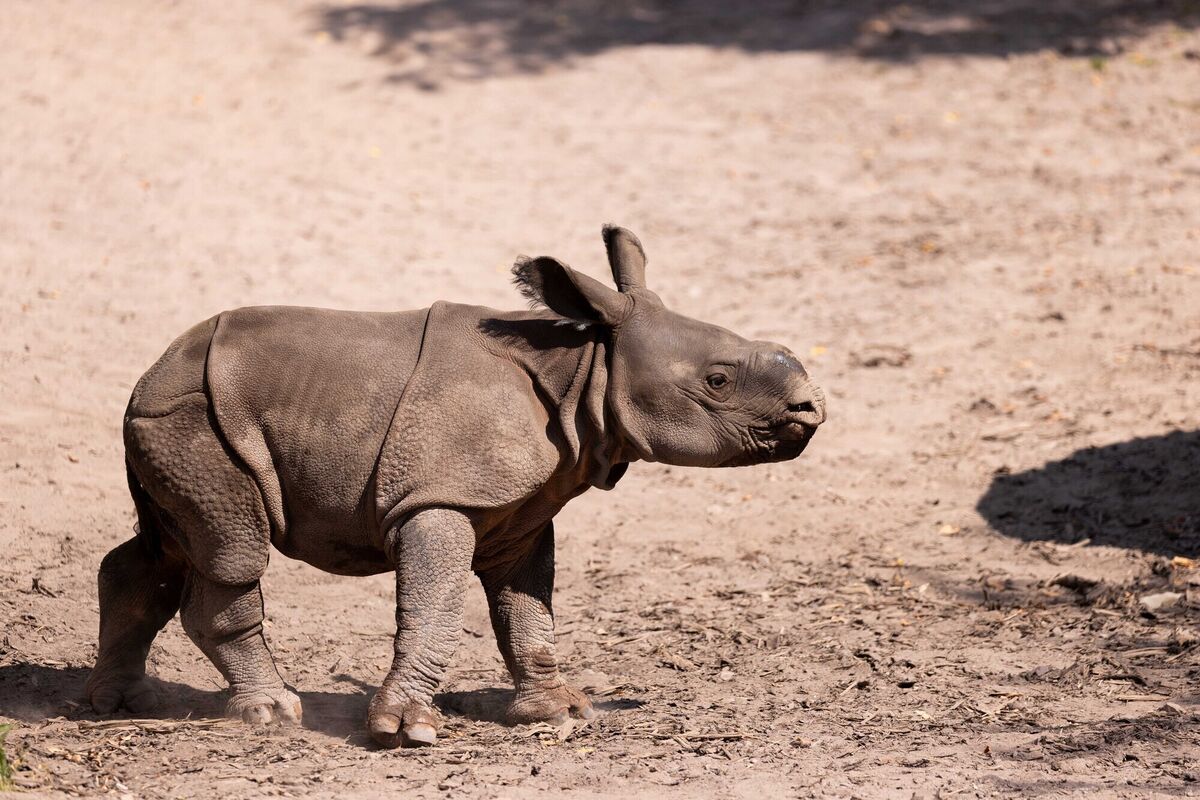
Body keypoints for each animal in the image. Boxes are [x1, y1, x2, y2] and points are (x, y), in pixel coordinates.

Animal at [85, 226, 826, 747]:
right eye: (718, 381)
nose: (810, 409)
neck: (584, 369)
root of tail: (151, 370)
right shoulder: (441, 493)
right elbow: (436, 604)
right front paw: (406, 730)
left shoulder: (523, 509)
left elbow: (527, 611)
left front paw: (557, 711)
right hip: (196, 417)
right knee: (234, 551)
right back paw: (273, 713)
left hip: (180, 420)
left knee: (167, 547)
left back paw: (117, 704)